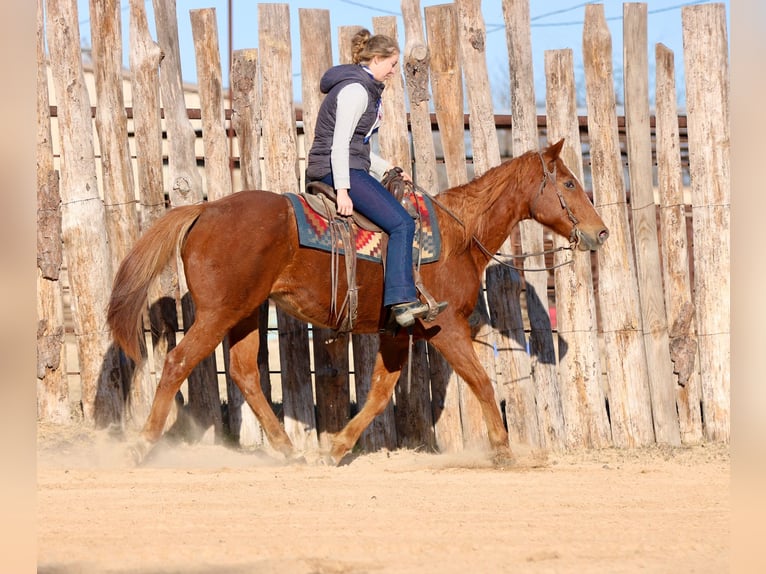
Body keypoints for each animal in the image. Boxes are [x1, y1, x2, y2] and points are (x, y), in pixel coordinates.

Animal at [107, 138, 608, 465]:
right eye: (567, 183)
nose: (600, 232)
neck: (459, 236)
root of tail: (204, 209)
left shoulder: (399, 330)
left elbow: (379, 392)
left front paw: (335, 448)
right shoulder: (444, 327)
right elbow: (481, 381)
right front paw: (503, 451)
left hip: (247, 312)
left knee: (245, 372)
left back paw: (288, 450)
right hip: (218, 312)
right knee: (178, 362)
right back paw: (141, 445)